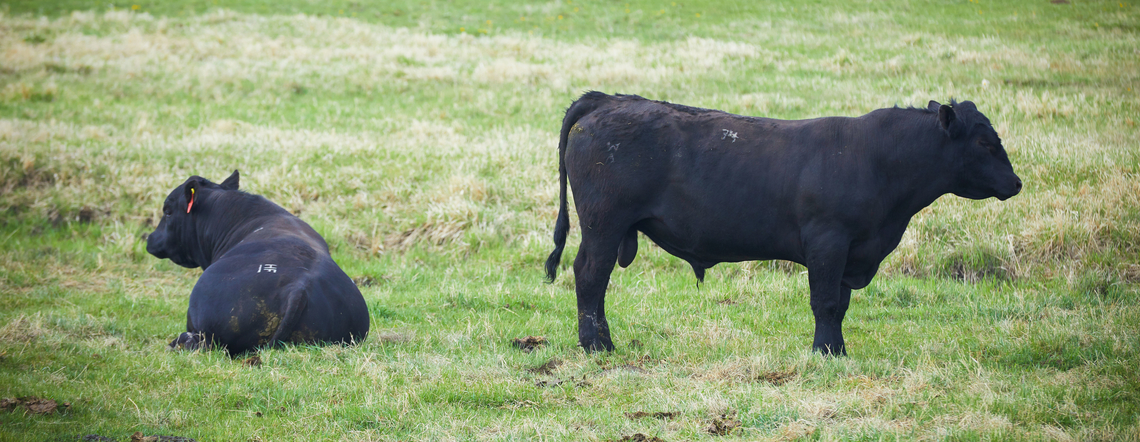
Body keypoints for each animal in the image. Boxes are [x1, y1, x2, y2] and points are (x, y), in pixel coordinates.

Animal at [545, 92, 1021, 356]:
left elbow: (840, 305)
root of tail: (608, 100)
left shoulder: (851, 252)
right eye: (984, 142)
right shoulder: (829, 242)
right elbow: (824, 302)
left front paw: (837, 350)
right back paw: (597, 346)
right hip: (604, 225)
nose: (1016, 182)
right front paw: (825, 354)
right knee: (590, 277)